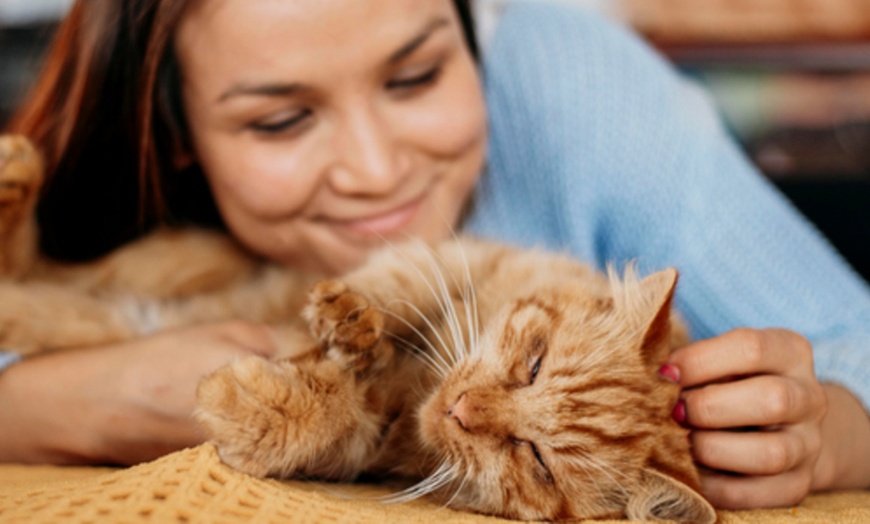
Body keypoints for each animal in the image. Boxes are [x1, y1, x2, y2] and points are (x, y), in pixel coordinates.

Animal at [0, 136, 716, 524]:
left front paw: (254, 404)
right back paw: (15, 173)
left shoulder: (374, 445)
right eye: (532, 363)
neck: (421, 378)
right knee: (30, 260)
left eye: (535, 459)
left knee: (27, 283)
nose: (461, 408)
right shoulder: (445, 256)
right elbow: (391, 290)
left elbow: (331, 416)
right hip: (163, 265)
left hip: (92, 312)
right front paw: (349, 317)